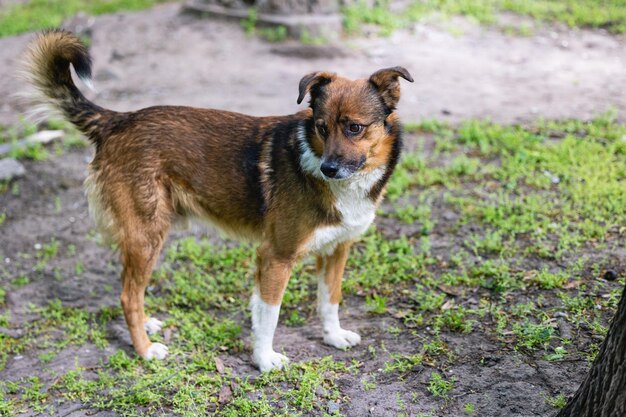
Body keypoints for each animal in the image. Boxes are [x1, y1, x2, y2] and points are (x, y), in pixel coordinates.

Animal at [23, 30, 414, 370]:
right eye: (321, 127)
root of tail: (118, 120)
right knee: (126, 296)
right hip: (147, 235)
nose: (328, 168)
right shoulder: (276, 256)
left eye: (354, 128)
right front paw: (264, 361)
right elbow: (269, 316)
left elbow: (329, 300)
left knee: (131, 290)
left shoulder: (337, 250)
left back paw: (147, 326)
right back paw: (145, 351)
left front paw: (332, 337)